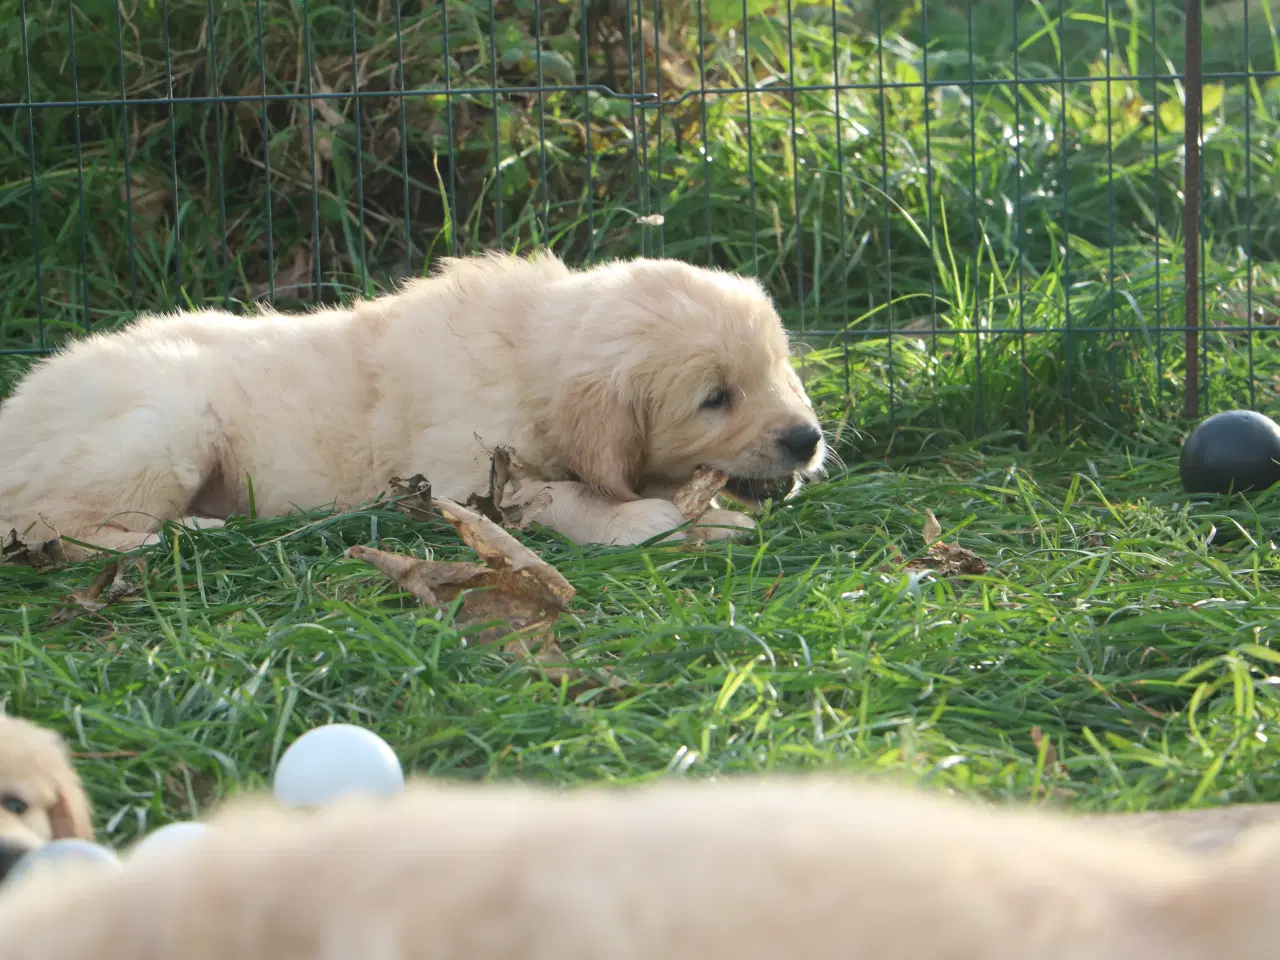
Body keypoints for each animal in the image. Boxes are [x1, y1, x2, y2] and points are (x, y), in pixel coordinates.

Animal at [0, 252, 824, 560]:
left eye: (779, 369)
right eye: (715, 399)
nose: (808, 440)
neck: (530, 354)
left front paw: (712, 519)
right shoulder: (458, 477)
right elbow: (556, 493)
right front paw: (638, 520)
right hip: (167, 423)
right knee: (51, 524)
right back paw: (185, 534)